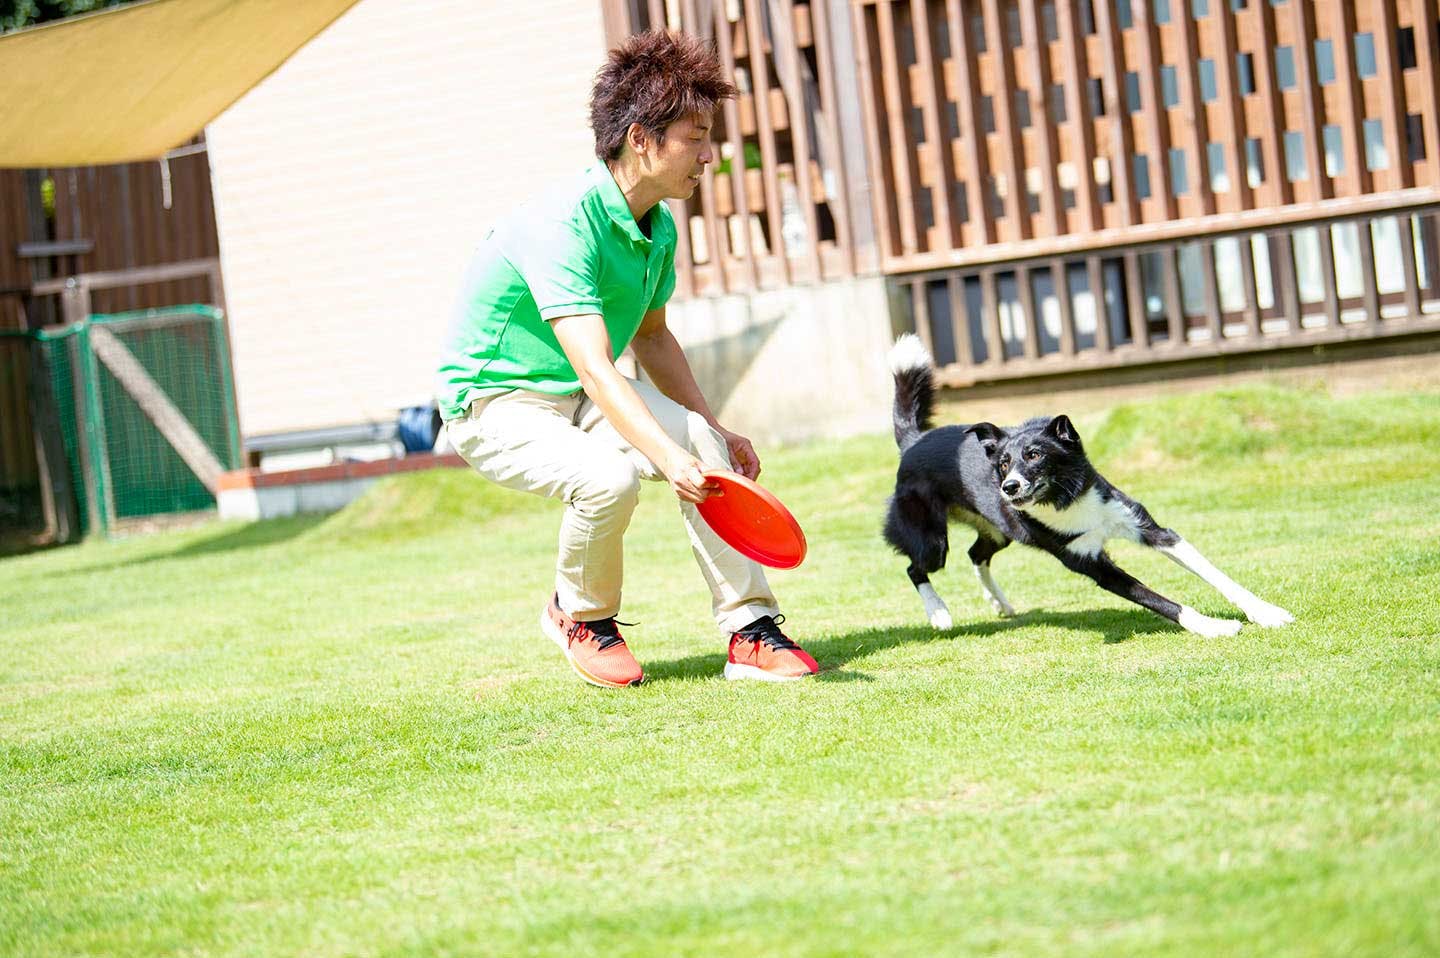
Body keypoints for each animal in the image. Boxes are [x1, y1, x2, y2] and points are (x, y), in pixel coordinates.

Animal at [875, 332, 1296, 639]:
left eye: (1034, 455)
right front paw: (1212, 627)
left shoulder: (1148, 527)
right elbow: (1161, 601)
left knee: (976, 554)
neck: (1067, 499)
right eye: (1004, 463)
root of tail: (914, 440)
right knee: (916, 568)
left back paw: (999, 604)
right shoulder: (1092, 565)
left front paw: (1265, 612)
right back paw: (939, 613)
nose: (1008, 487)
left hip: (1000, 531)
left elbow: (1215, 574)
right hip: (931, 540)